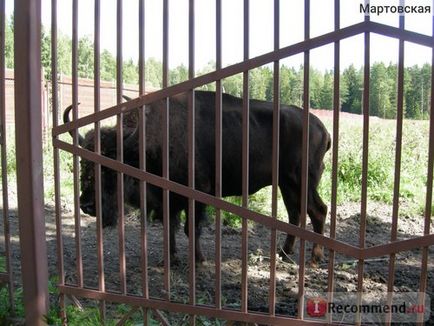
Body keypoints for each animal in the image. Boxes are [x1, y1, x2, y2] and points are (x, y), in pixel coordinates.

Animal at [63, 90, 328, 264]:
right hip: (286, 184)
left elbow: (192, 228)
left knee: (318, 211)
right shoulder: (167, 199)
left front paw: (198, 260)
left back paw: (314, 260)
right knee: (295, 214)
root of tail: (322, 128)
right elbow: (170, 226)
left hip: (301, 182)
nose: (87, 205)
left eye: (109, 168)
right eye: (83, 163)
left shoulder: (199, 193)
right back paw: (284, 254)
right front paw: (169, 260)